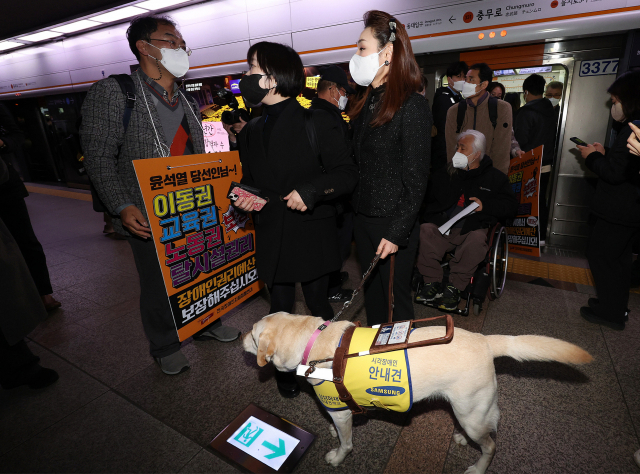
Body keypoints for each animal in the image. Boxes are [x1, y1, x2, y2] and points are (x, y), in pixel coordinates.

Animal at [242, 312, 592, 474]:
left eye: (254, 336)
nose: (241, 337)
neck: (314, 343)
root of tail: (486, 340)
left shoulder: (341, 413)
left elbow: (346, 443)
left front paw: (338, 457)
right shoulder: (338, 410)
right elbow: (335, 425)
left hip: (471, 413)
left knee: (491, 445)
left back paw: (479, 467)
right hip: (469, 409)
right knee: (486, 427)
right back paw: (462, 439)